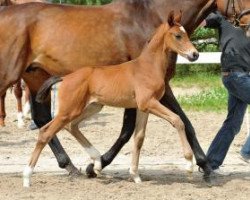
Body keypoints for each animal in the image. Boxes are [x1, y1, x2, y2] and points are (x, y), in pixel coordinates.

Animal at [23, 11, 199, 188]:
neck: (148, 67)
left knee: (70, 126)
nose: (195, 54)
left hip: (92, 106)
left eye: (186, 33)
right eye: (177, 35)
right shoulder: (148, 103)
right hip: (69, 110)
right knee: (46, 132)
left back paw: (97, 162)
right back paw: (27, 177)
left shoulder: (144, 107)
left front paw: (135, 175)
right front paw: (189, 165)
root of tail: (65, 77)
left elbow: (139, 138)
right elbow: (177, 120)